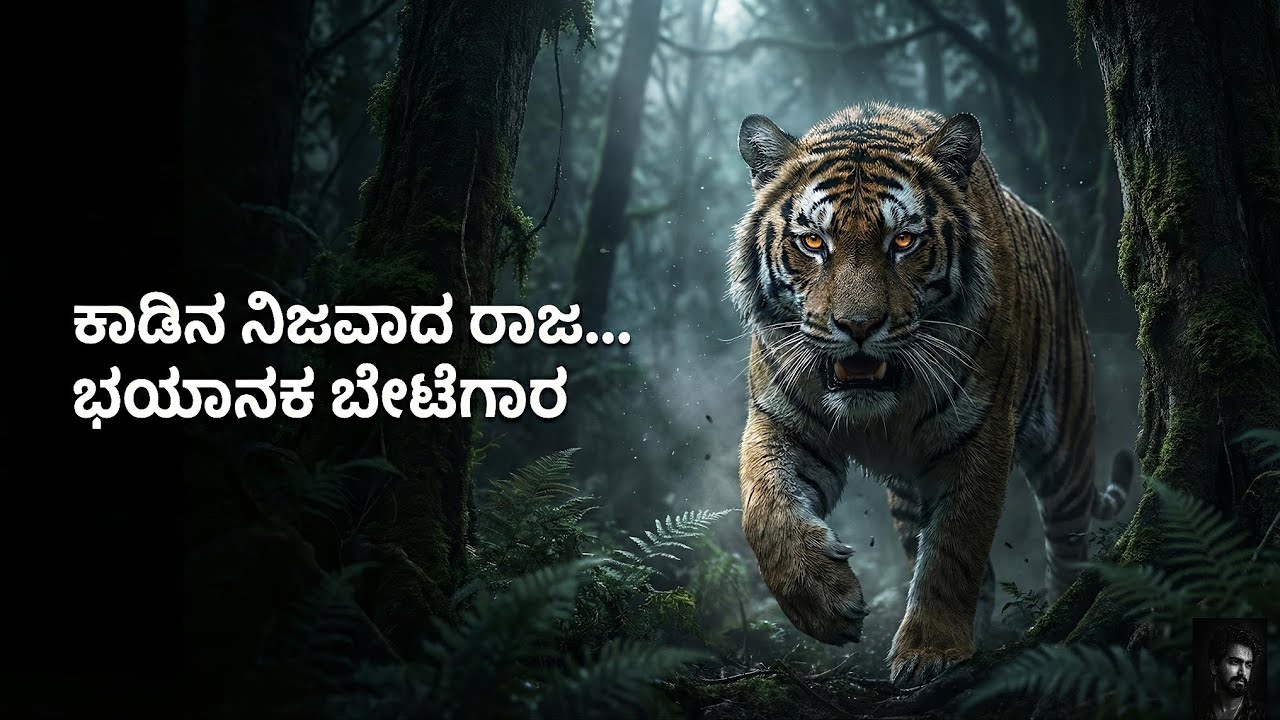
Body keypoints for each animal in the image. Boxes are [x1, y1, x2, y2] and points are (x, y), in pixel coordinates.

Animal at [727, 102, 1135, 688]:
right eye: (813, 243)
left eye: (903, 242)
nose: (857, 326)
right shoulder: (782, 419)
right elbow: (764, 511)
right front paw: (825, 602)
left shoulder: (981, 432)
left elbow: (954, 549)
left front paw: (930, 651)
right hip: (906, 496)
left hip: (1067, 451)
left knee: (1070, 549)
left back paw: (1056, 625)